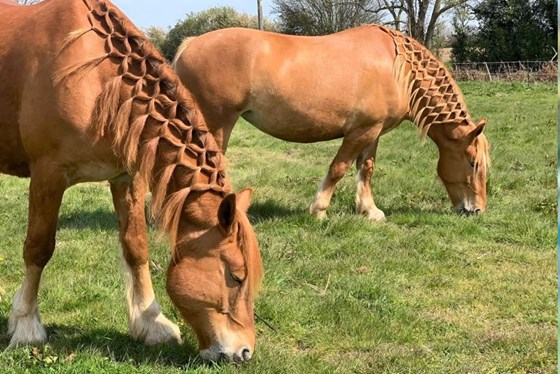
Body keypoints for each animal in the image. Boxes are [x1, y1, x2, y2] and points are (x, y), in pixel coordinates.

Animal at [0, 0, 262, 362]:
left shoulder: (128, 179)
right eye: (236, 277)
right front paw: (26, 326)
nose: (244, 351)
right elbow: (38, 249)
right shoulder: (47, 176)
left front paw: (152, 323)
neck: (98, 79)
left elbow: (136, 248)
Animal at [173, 26, 488, 221]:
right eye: (473, 163)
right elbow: (339, 168)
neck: (401, 70)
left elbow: (366, 168)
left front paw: (369, 210)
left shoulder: (373, 131)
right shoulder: (360, 132)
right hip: (217, 123)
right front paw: (319, 209)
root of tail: (190, 45)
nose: (477, 210)